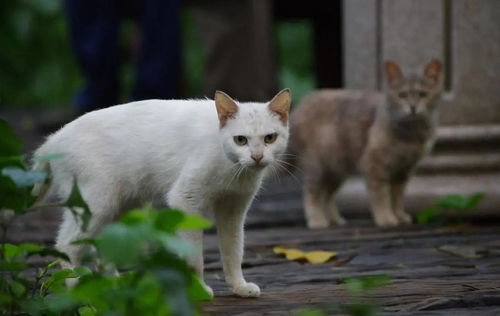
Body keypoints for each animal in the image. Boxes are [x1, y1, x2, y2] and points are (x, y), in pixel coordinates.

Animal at [33, 88, 292, 296]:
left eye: (270, 138)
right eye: (240, 140)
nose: (257, 157)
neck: (233, 169)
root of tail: (53, 140)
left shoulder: (234, 208)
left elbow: (234, 250)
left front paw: (239, 287)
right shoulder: (185, 200)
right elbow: (194, 257)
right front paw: (199, 289)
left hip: (121, 206)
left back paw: (115, 285)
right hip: (97, 205)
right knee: (65, 245)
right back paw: (76, 289)